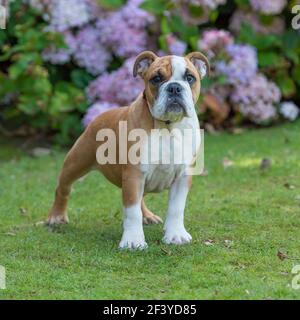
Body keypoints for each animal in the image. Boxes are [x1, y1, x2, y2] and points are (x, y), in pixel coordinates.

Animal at [48, 50, 210, 250]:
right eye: (156, 79)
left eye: (189, 78)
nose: (174, 88)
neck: (167, 126)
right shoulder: (134, 174)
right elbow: (132, 211)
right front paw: (133, 240)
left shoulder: (182, 176)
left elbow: (176, 208)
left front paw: (175, 234)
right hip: (76, 162)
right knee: (63, 187)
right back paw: (56, 216)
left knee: (141, 199)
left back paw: (148, 216)